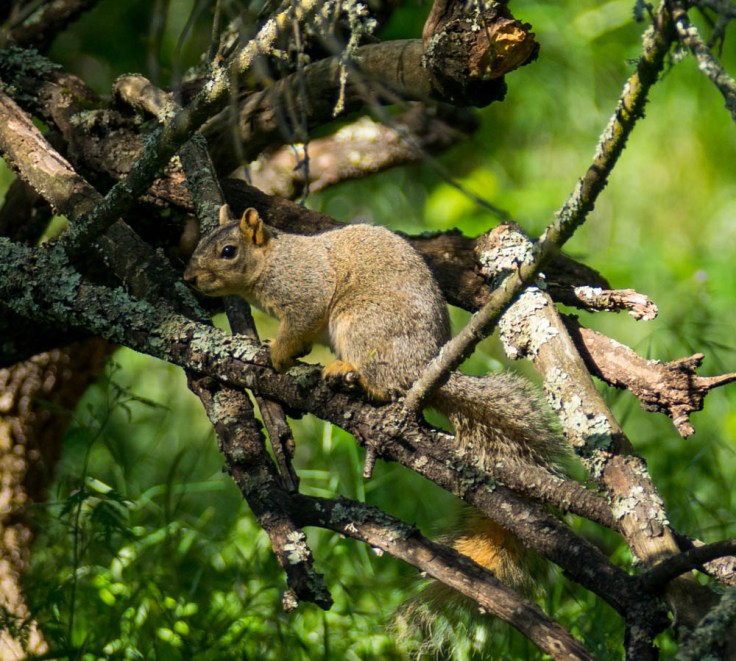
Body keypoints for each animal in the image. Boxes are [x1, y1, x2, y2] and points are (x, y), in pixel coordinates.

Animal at [183, 206, 564, 606]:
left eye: (228, 251)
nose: (188, 277)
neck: (273, 260)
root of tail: (422, 367)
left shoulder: (306, 292)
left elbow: (300, 326)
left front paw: (278, 354)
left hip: (361, 324)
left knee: (384, 385)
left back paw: (348, 373)